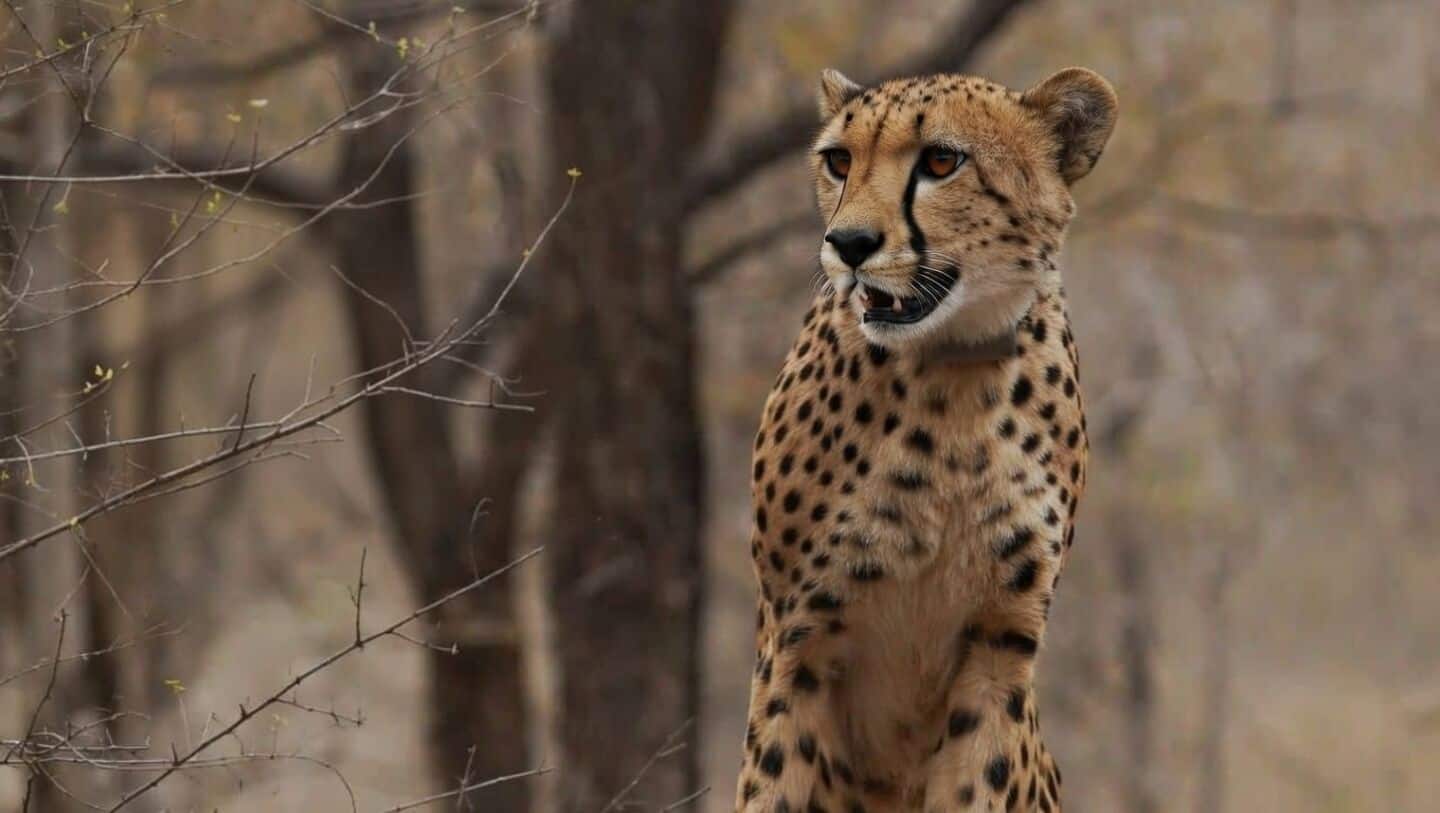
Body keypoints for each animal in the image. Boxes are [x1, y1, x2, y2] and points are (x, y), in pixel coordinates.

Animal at [733, 66, 1117, 813]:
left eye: (941, 162)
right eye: (839, 161)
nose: (849, 244)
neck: (954, 372)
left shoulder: (998, 647)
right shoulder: (795, 643)